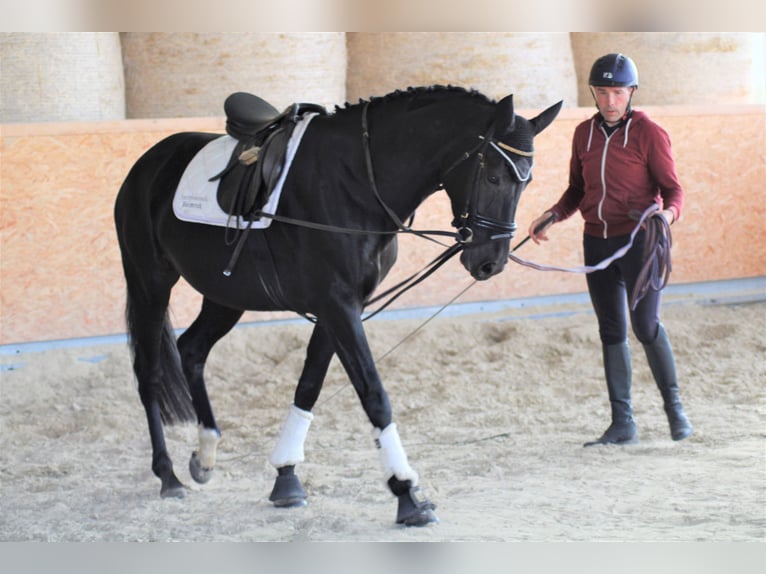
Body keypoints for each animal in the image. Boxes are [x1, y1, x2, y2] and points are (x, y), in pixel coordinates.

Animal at [114, 85, 560, 528]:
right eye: (493, 176)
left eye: (527, 182)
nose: (490, 263)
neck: (358, 182)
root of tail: (148, 162)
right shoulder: (336, 305)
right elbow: (374, 393)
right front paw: (407, 493)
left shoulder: (344, 307)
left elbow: (309, 385)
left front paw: (286, 477)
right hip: (150, 282)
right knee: (149, 372)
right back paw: (168, 475)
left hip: (225, 296)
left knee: (192, 350)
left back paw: (205, 456)